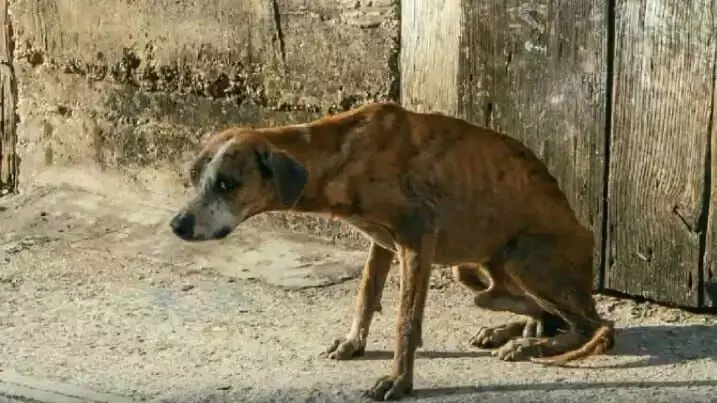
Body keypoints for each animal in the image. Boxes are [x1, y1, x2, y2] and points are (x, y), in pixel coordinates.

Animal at [169, 102, 616, 400]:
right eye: (193, 177)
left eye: (226, 184)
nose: (178, 225)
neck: (342, 154)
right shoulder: (382, 244)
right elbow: (366, 295)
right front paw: (354, 342)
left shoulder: (418, 239)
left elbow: (405, 319)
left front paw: (399, 380)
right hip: (477, 267)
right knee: (539, 311)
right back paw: (514, 331)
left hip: (520, 256)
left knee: (595, 327)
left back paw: (531, 343)